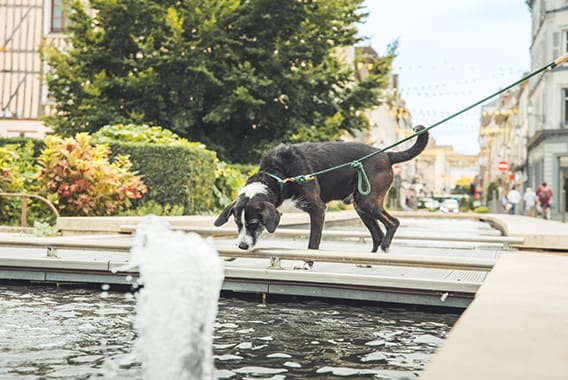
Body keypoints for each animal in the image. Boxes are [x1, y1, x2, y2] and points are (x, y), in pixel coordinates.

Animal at [215, 124, 428, 264]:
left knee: (393, 223)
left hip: (368, 202)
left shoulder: (318, 209)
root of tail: (386, 154)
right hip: (360, 206)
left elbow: (313, 244)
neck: (278, 176)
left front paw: (306, 265)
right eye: (237, 223)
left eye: (253, 223)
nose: (242, 247)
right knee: (377, 234)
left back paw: (384, 249)